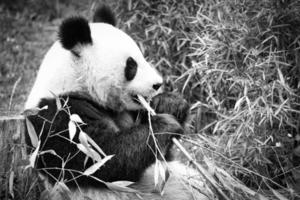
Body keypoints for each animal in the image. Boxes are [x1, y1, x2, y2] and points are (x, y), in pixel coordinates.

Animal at [24, 4, 209, 200]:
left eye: (142, 57)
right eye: (131, 65)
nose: (158, 84)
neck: (74, 84)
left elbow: (162, 157)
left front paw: (168, 104)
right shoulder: (57, 117)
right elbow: (103, 158)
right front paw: (165, 125)